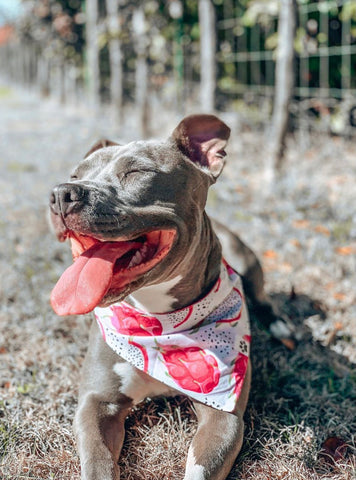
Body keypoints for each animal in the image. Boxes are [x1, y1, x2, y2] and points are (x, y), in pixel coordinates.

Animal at [49, 115, 290, 480]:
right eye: (76, 174)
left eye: (137, 172)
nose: (61, 193)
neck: (159, 322)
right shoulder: (97, 402)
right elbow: (98, 462)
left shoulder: (224, 416)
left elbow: (200, 469)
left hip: (248, 260)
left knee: (262, 298)